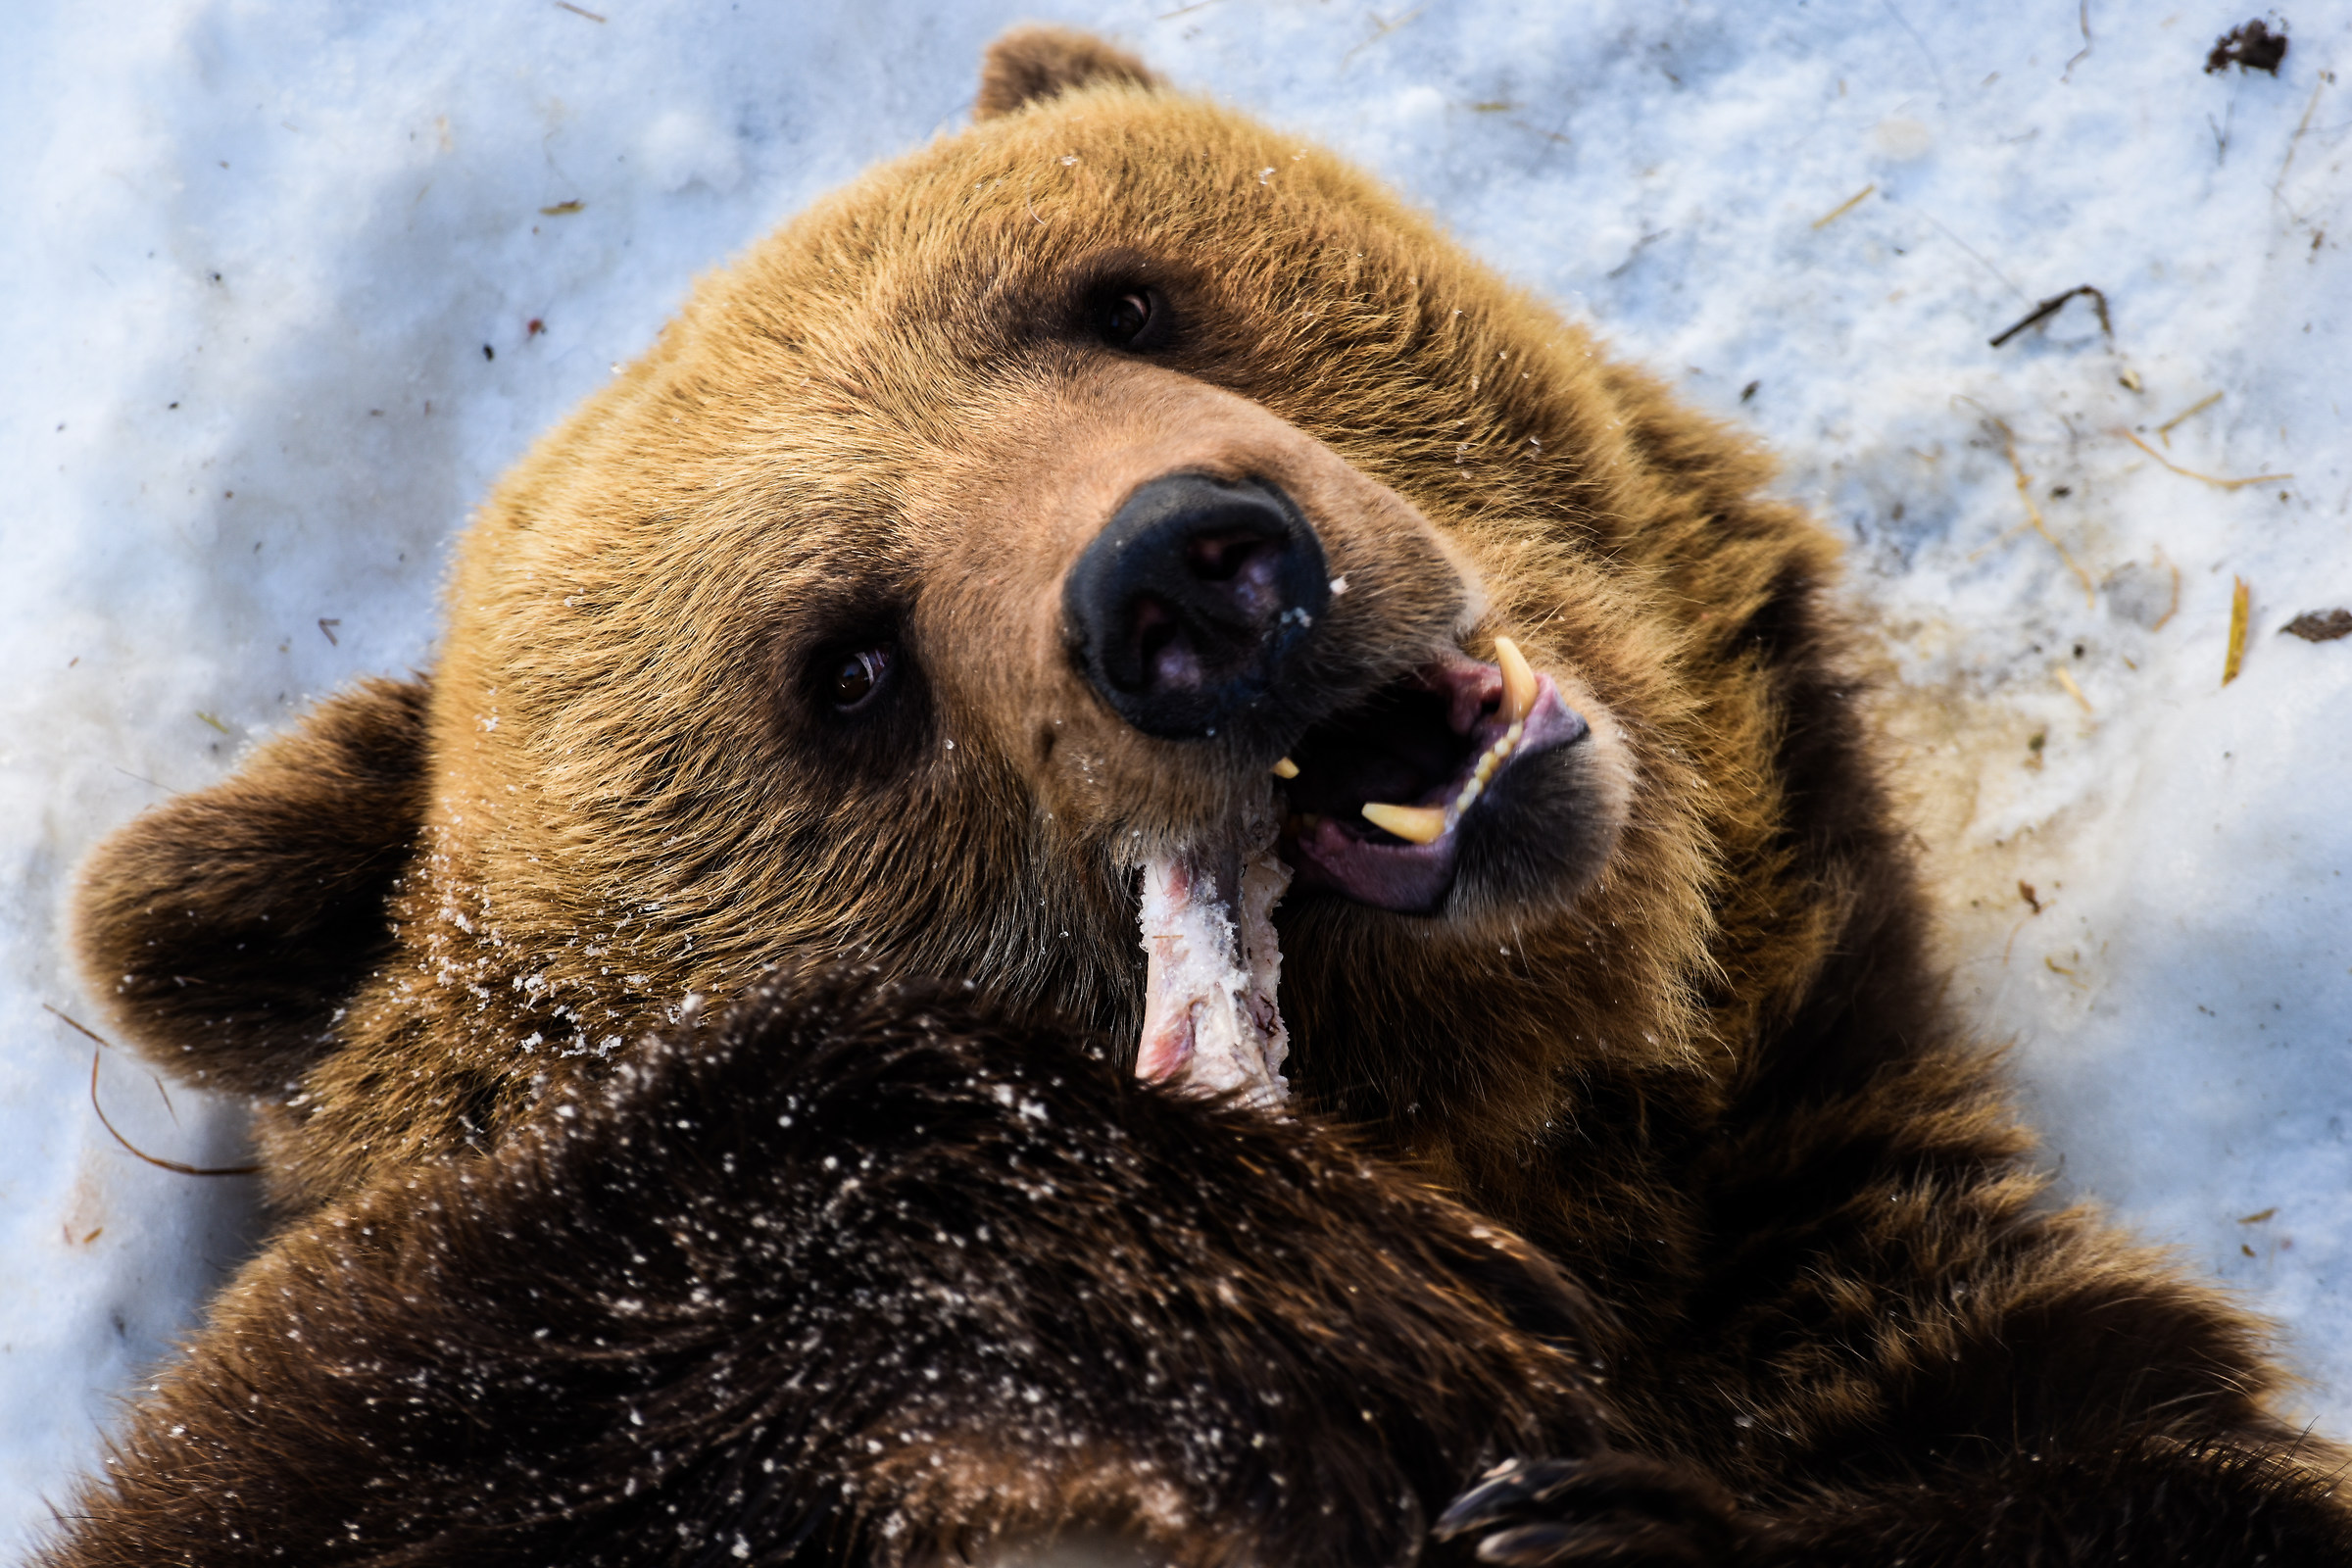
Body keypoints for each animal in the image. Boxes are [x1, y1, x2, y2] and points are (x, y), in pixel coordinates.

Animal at [50, 23, 2352, 1568]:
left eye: (1118, 288)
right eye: (844, 667)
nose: (1190, 576)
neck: (1537, 1132)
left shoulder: (1851, 1269)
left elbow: (2136, 1475)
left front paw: (1595, 1511)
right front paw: (1312, 1311)